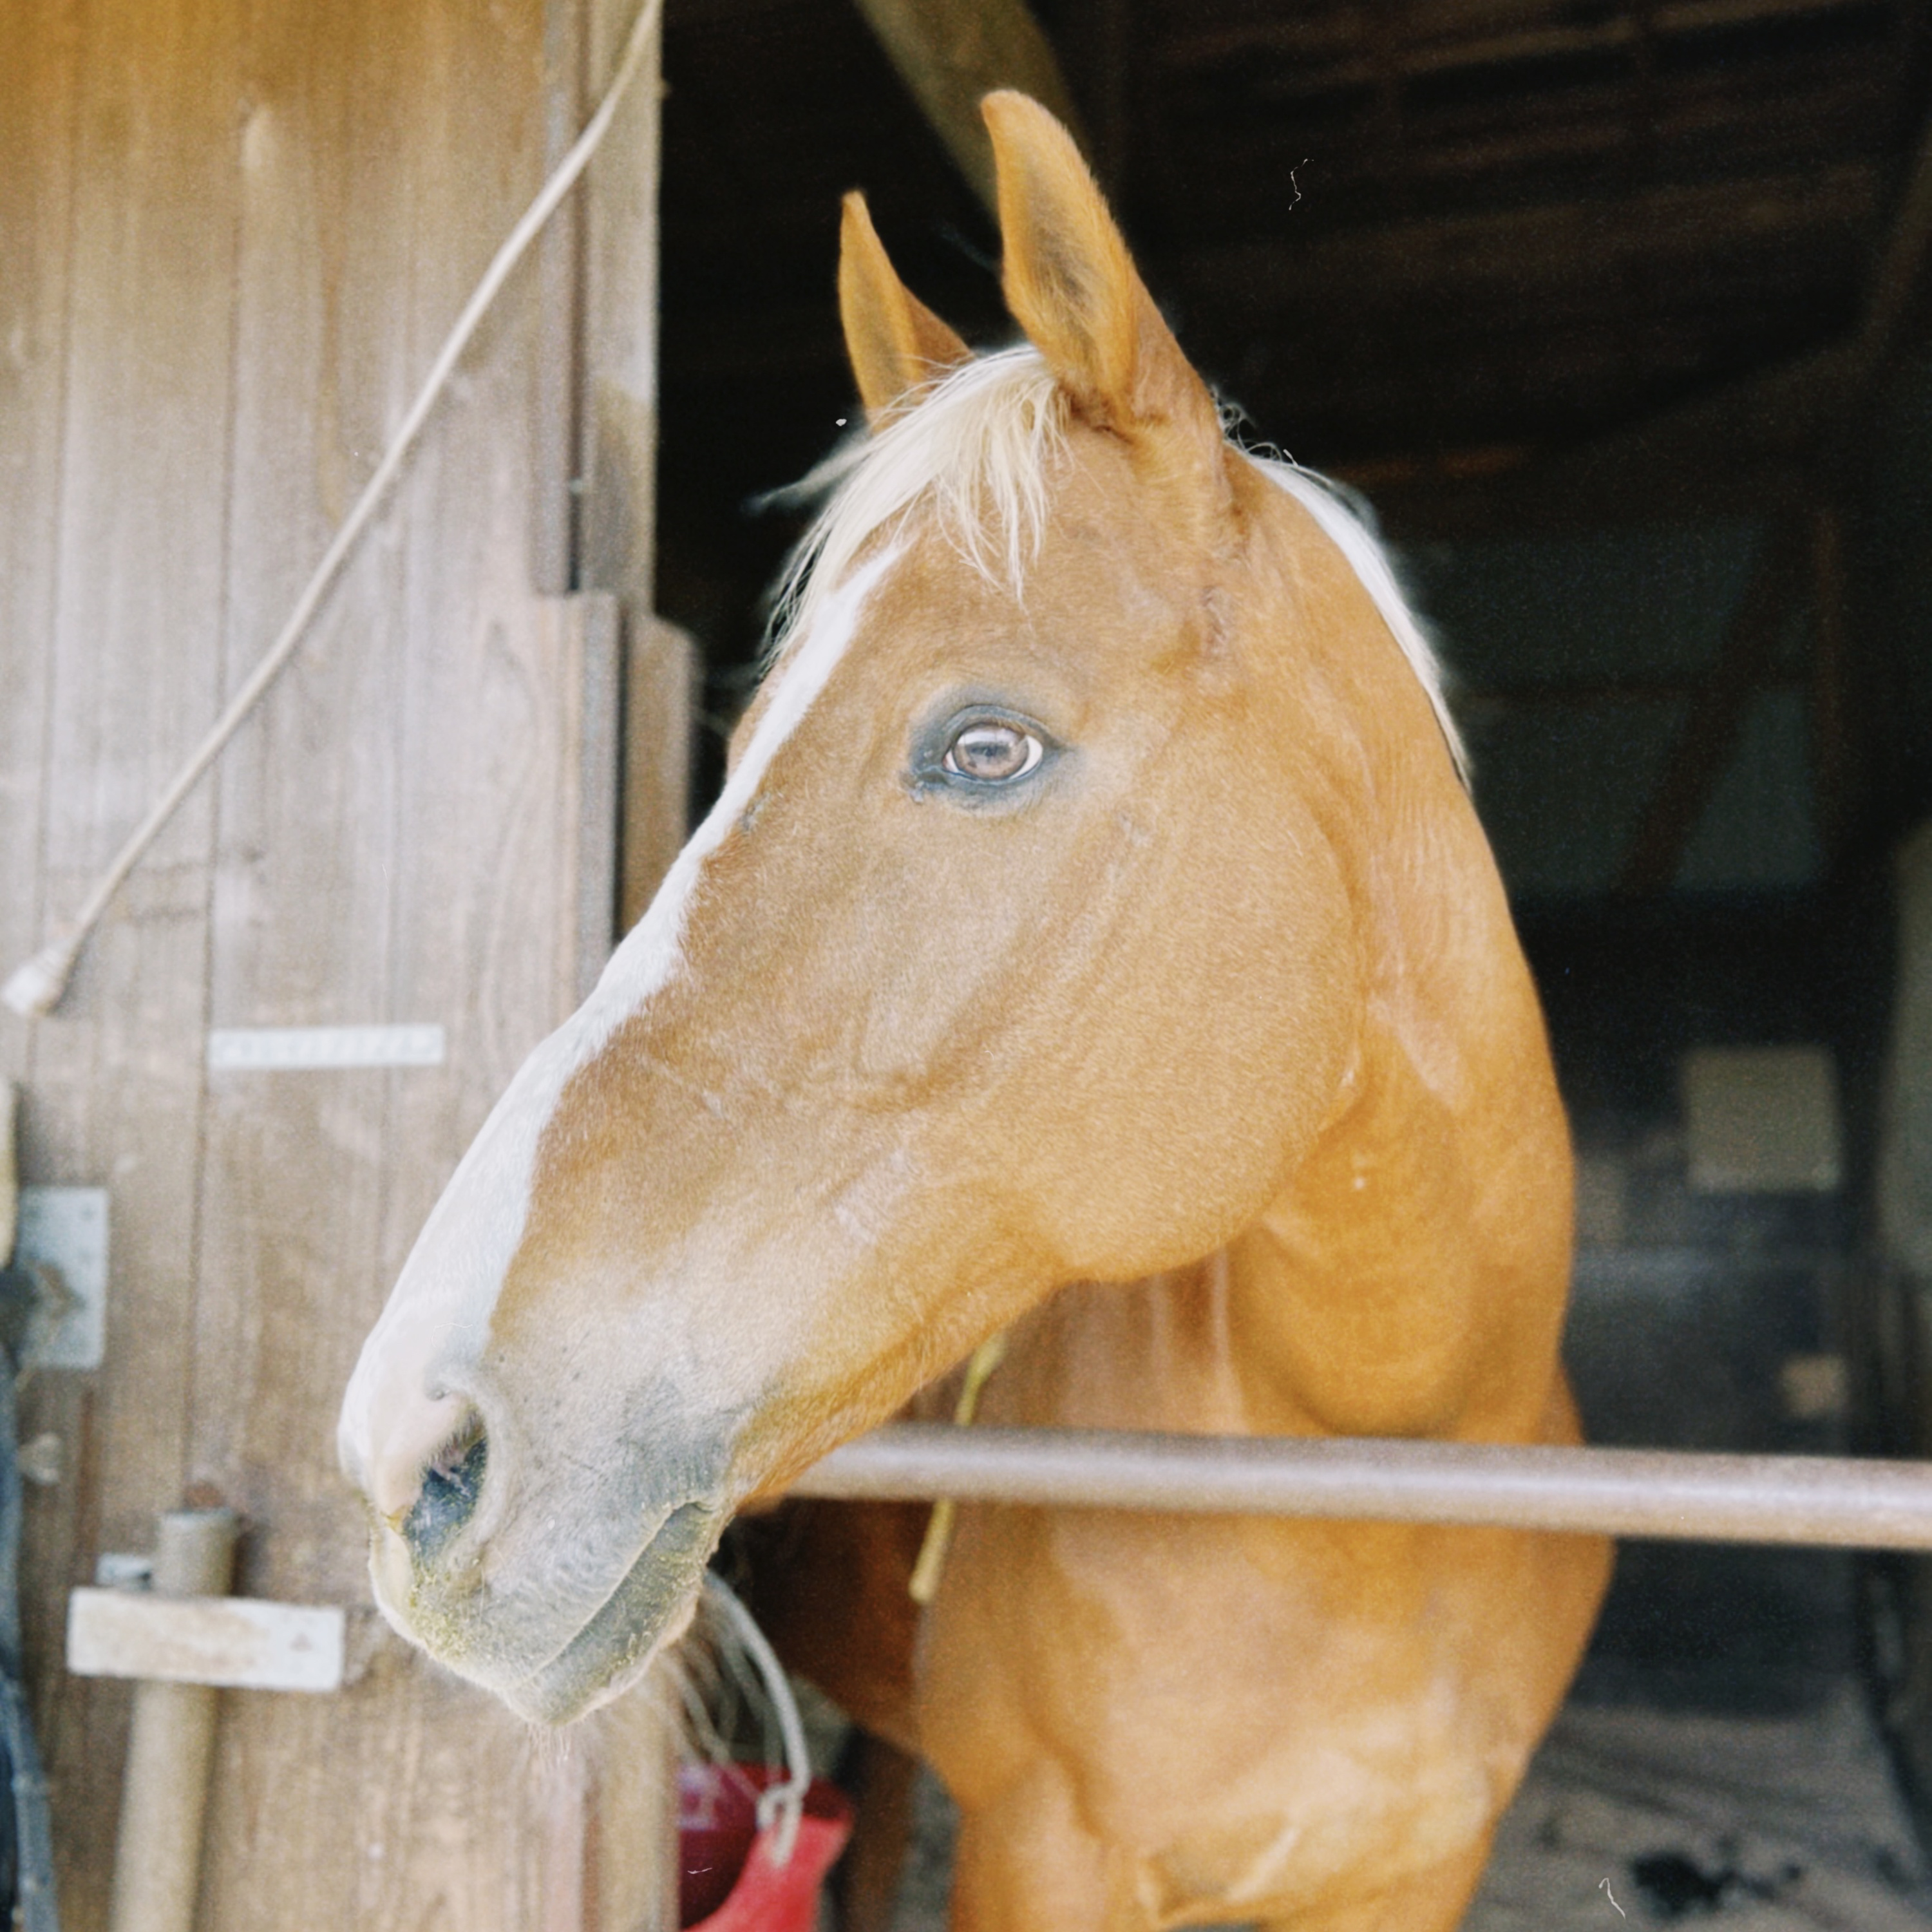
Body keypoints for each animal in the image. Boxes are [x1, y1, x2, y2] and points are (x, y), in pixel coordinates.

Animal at [338, 90, 1610, 1931]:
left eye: (985, 744)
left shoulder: (1414, 1875)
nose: (412, 1451)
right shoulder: (1043, 1857)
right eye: (733, 751)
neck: (1372, 1481)